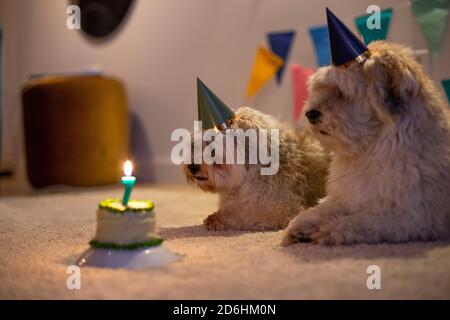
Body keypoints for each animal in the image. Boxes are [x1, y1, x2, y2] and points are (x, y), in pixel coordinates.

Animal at [184, 107, 330, 230]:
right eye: (196, 145)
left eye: (213, 150)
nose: (192, 166)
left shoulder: (280, 210)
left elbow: (240, 213)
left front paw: (217, 218)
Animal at [284, 40, 450, 245]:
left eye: (342, 93)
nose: (310, 113)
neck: (369, 151)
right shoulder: (346, 198)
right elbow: (321, 208)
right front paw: (300, 225)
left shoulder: (412, 218)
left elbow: (360, 222)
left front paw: (329, 229)